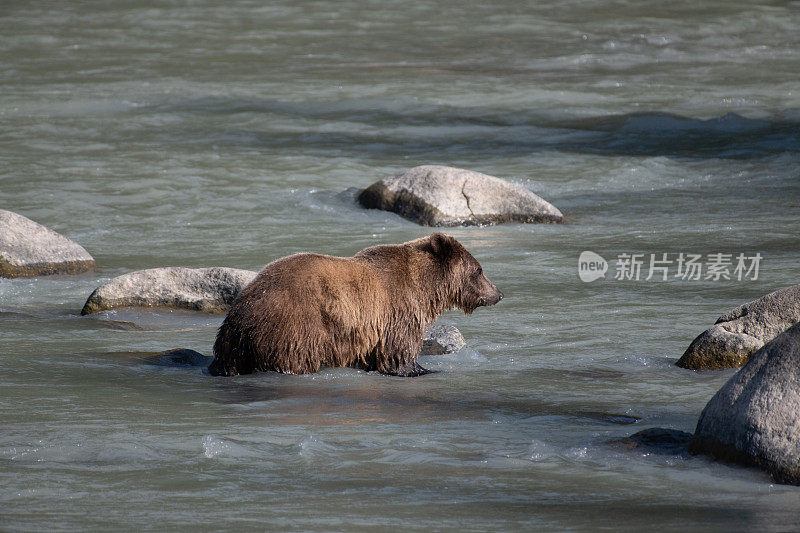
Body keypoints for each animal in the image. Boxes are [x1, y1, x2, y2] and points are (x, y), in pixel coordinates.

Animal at [209, 231, 504, 376]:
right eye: (479, 270)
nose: (498, 293)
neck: (426, 289)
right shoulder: (398, 308)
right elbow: (399, 350)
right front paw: (421, 369)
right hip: (294, 324)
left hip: (236, 343)